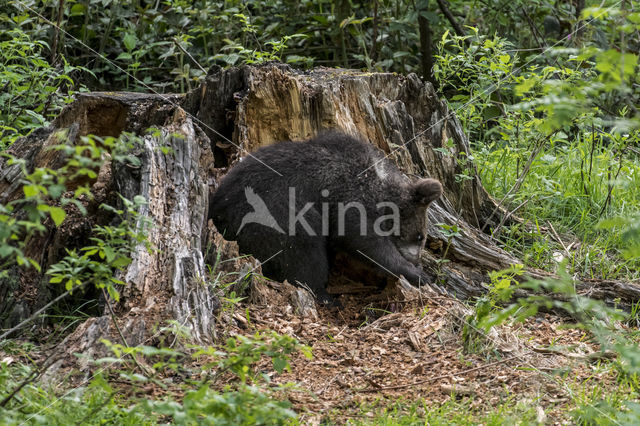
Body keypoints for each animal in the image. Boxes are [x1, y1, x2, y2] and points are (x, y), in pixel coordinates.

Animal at [208, 131, 442, 304]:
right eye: (420, 237)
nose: (417, 259)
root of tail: (219, 213)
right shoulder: (349, 201)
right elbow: (368, 245)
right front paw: (417, 273)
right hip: (273, 217)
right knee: (304, 253)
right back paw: (325, 295)